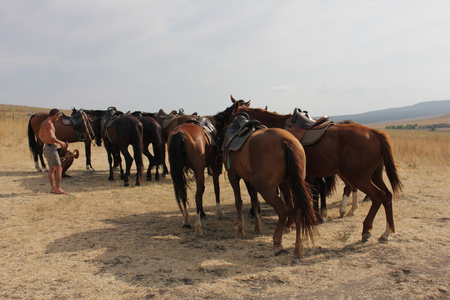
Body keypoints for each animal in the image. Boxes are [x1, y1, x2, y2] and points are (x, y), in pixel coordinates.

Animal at [167, 99, 250, 236]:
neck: (219, 124)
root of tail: (179, 133)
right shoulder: (215, 167)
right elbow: (216, 188)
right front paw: (219, 212)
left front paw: (202, 213)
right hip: (198, 170)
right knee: (197, 195)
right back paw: (198, 227)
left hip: (177, 171)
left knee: (182, 193)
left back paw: (186, 221)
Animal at [224, 120, 316, 258]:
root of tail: (285, 141)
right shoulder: (250, 181)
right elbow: (254, 201)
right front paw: (257, 228)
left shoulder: (233, 176)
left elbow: (239, 202)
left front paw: (240, 231)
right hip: (292, 184)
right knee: (298, 211)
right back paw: (297, 249)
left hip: (266, 190)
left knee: (283, 210)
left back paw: (277, 243)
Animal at [234, 106, 402, 243]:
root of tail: (375, 132)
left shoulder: (291, 179)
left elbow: (292, 199)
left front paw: (294, 222)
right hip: (374, 176)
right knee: (387, 196)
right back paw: (386, 232)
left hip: (359, 177)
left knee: (378, 196)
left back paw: (366, 229)